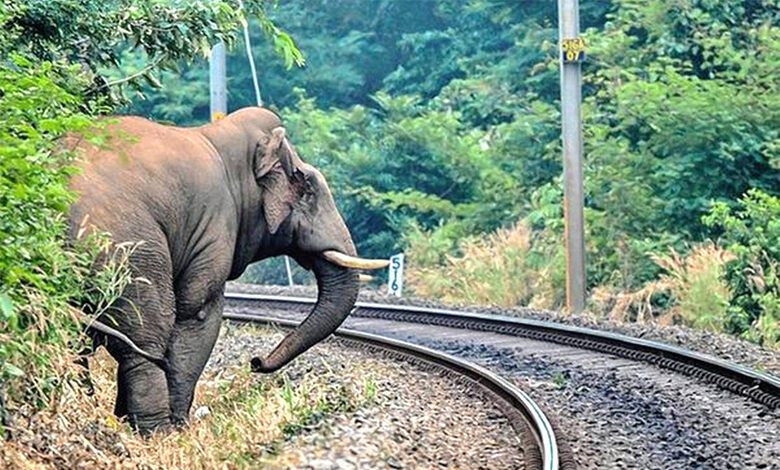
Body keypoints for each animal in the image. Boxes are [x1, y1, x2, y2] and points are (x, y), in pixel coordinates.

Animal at [67, 107, 387, 434]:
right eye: (307, 189)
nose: (255, 362)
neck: (220, 138)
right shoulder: (213, 227)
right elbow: (198, 312)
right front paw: (180, 428)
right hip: (127, 250)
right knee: (143, 337)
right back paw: (157, 431)